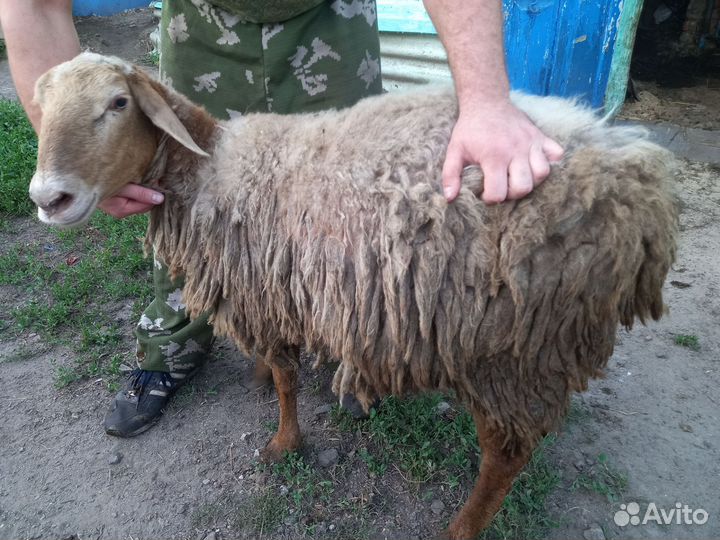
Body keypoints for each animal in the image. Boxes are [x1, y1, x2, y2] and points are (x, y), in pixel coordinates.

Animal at [29, 52, 678, 539]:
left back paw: (460, 528)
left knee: (506, 454)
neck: (213, 168)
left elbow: (287, 382)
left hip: (510, 347)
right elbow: (276, 370)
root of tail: (639, 186)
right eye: (42, 106)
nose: (47, 197)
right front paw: (262, 385)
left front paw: (283, 443)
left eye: (119, 103)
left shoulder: (269, 290)